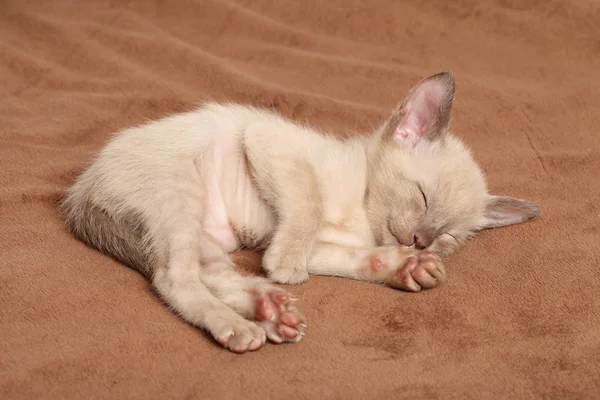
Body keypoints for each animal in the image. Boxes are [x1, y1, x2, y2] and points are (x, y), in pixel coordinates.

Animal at [59, 72, 540, 354]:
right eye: (422, 197)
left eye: (448, 236)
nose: (419, 241)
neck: (360, 215)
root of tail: (82, 189)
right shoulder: (269, 143)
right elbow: (307, 207)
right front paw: (287, 266)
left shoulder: (326, 246)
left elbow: (350, 259)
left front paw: (404, 267)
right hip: (182, 196)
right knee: (173, 279)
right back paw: (240, 325)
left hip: (207, 237)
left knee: (207, 274)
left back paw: (270, 310)